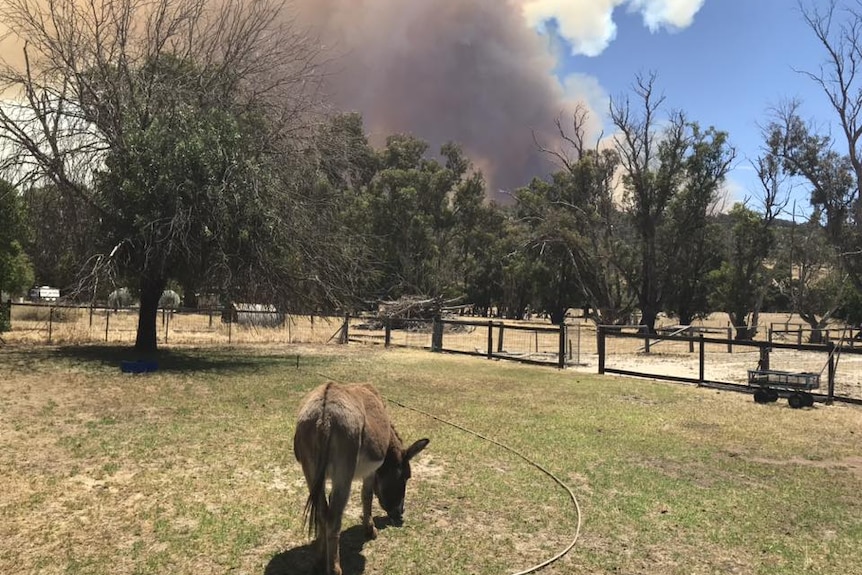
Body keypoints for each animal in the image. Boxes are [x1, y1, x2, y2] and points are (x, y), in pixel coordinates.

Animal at [293, 382, 430, 575]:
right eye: (406, 477)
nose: (400, 513)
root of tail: (324, 416)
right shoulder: (371, 472)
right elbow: (367, 496)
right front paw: (370, 529)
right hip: (343, 473)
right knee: (333, 519)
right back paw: (334, 568)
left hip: (311, 473)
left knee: (321, 513)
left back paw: (319, 561)